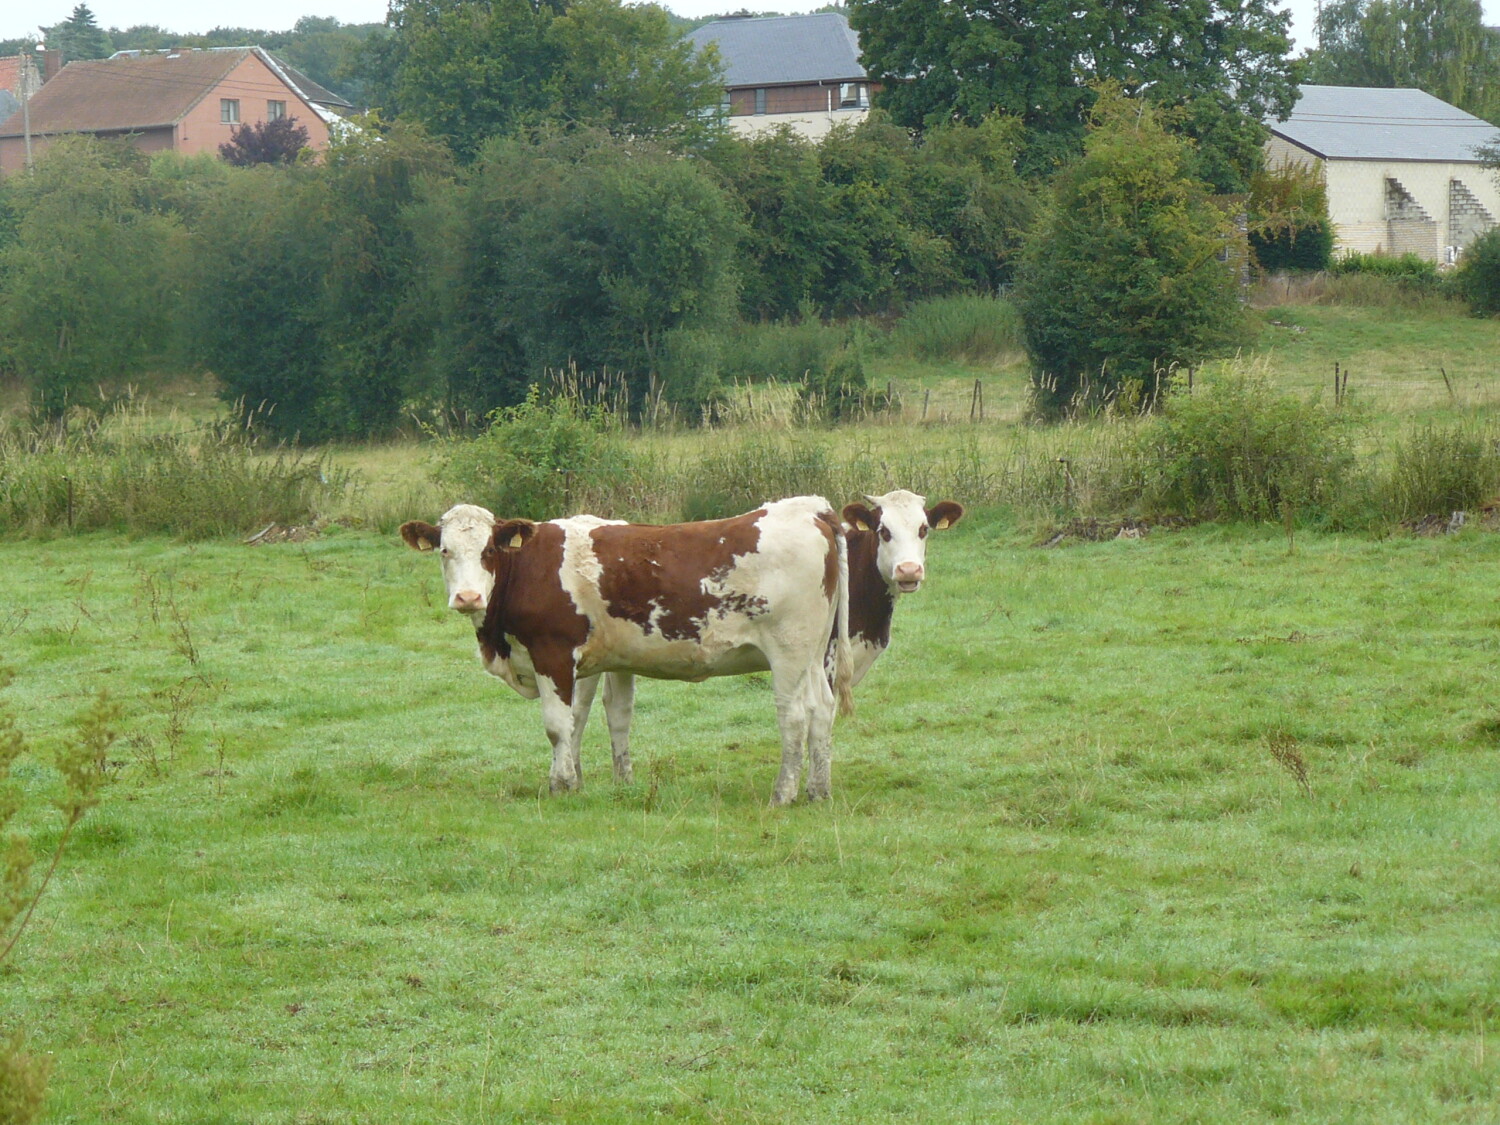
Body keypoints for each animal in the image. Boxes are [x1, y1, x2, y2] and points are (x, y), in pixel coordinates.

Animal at [400, 499, 853, 806]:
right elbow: (594, 718)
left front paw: (560, 785)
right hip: (814, 654)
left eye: (489, 551)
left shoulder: (552, 654)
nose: (468, 597)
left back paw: (784, 793)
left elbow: (556, 725)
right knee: (822, 710)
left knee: (794, 716)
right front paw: (601, 781)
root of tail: (811, 509)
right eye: (445, 551)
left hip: (788, 652)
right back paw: (818, 789)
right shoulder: (595, 661)